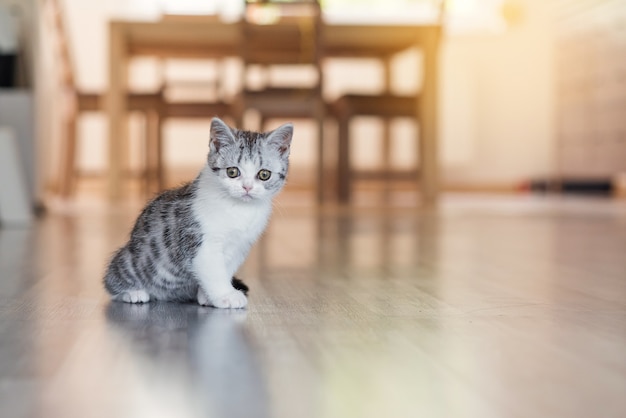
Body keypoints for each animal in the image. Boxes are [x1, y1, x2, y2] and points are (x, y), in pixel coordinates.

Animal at [103, 116, 292, 306]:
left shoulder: (240, 246)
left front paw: (207, 297)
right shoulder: (201, 243)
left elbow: (225, 269)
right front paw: (226, 295)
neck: (240, 210)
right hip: (131, 260)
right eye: (232, 171)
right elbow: (214, 271)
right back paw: (133, 293)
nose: (247, 187)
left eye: (264, 174)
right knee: (112, 281)